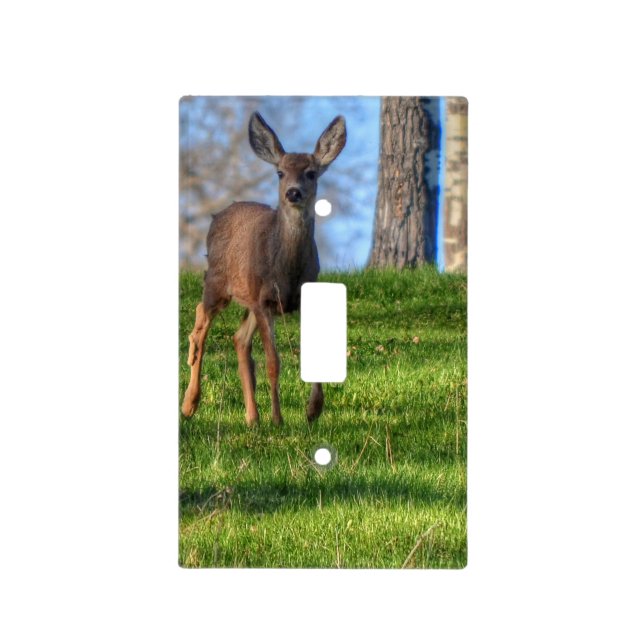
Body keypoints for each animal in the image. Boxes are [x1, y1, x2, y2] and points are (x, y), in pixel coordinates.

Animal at [181, 111, 347, 426]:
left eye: (311, 173)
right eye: (280, 172)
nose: (293, 193)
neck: (287, 270)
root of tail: (219, 214)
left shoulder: (297, 297)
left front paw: (313, 410)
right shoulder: (264, 300)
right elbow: (273, 362)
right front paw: (278, 419)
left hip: (248, 298)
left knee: (239, 340)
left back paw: (252, 418)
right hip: (220, 282)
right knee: (199, 326)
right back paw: (190, 404)